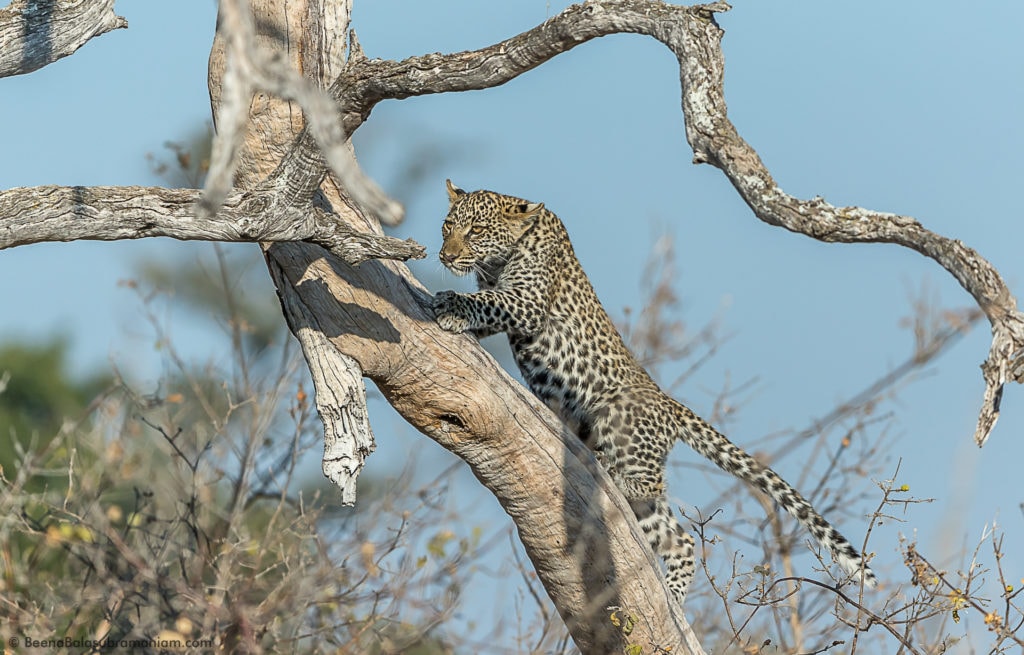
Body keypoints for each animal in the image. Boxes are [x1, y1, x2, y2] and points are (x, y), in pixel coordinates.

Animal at [430, 179, 872, 605]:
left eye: (477, 230)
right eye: (448, 226)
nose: (446, 257)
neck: (501, 258)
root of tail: (670, 405)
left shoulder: (527, 301)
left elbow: (487, 302)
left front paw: (451, 305)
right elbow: (487, 308)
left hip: (618, 422)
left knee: (652, 485)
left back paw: (612, 475)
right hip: (644, 498)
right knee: (681, 538)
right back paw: (672, 595)